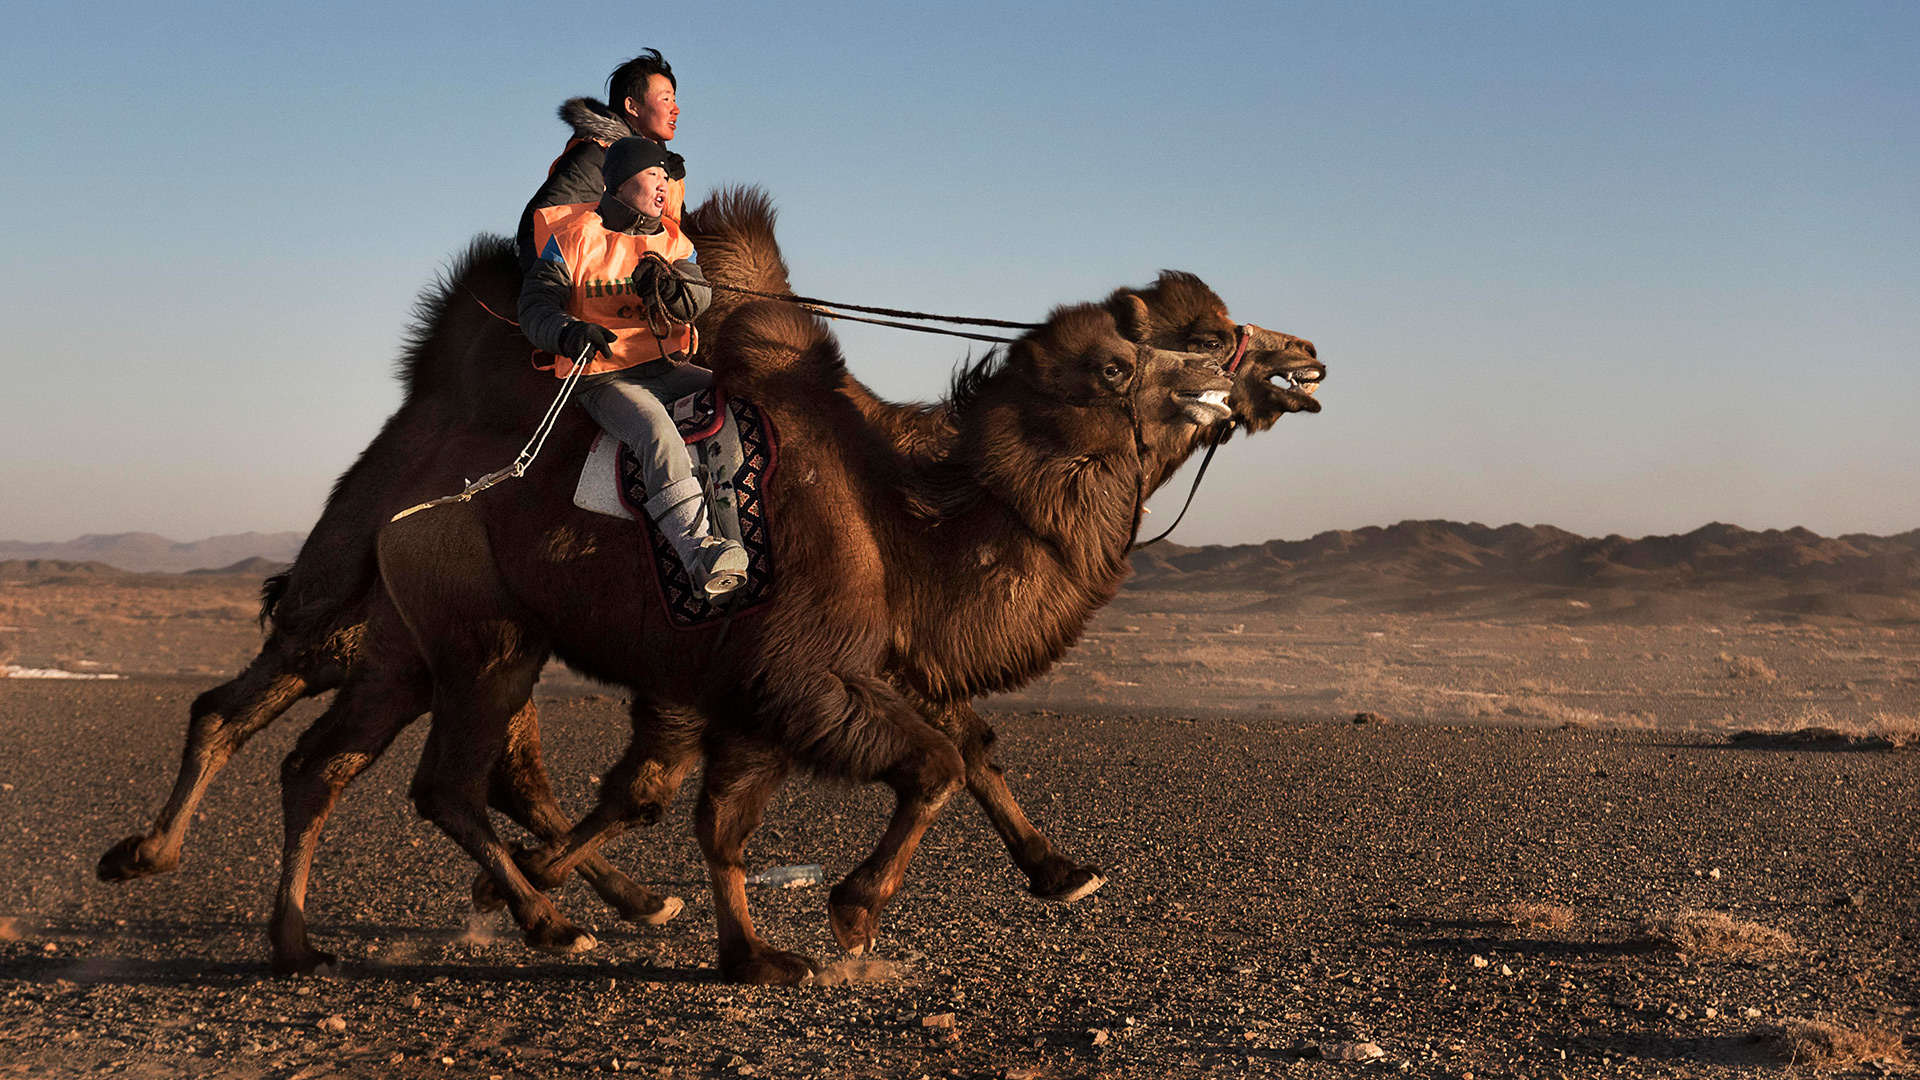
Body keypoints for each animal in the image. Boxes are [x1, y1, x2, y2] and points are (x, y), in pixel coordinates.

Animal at [100, 190, 1324, 924]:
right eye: (1200, 340)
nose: (1304, 358)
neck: (905, 502)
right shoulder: (792, 665)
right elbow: (927, 758)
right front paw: (850, 904)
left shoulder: (823, 658)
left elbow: (964, 744)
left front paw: (1062, 871)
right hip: (423, 618)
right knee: (301, 715)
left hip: (429, 631)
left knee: (364, 751)